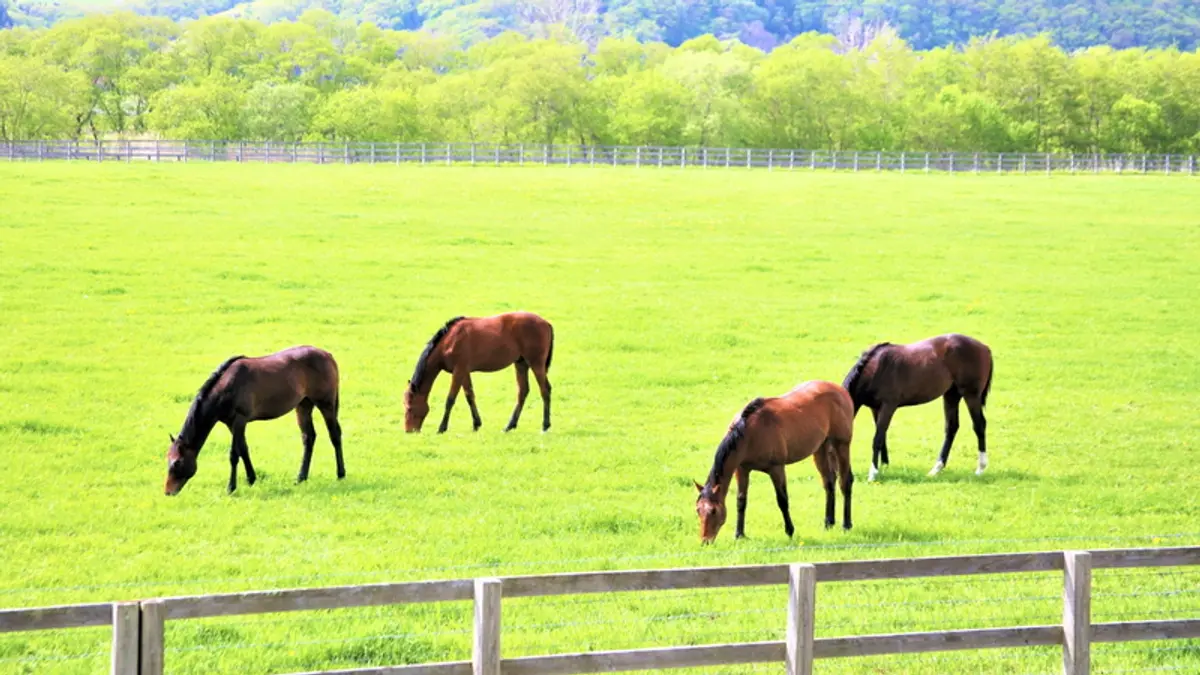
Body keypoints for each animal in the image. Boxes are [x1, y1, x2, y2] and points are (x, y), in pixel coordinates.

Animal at [164, 346, 344, 496]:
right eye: (168, 460)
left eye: (177, 463)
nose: (168, 492)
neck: (227, 387)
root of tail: (327, 355)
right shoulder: (232, 424)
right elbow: (243, 449)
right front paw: (251, 478)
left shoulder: (239, 420)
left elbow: (234, 454)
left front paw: (231, 487)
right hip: (303, 405)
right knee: (308, 437)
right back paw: (301, 477)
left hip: (326, 404)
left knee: (335, 435)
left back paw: (340, 474)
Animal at [404, 311, 554, 434]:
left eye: (410, 408)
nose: (408, 431)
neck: (450, 340)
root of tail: (546, 323)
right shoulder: (464, 372)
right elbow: (470, 396)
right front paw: (476, 424)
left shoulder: (458, 371)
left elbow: (450, 399)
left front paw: (442, 428)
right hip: (521, 364)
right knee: (523, 391)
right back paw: (509, 426)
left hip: (536, 364)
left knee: (545, 390)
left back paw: (545, 426)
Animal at [693, 380, 855, 544]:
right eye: (698, 510)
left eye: (713, 511)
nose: (705, 541)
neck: (749, 431)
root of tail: (839, 389)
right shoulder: (742, 469)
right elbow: (741, 500)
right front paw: (739, 534)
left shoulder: (777, 469)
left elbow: (782, 500)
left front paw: (790, 531)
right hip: (821, 448)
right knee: (829, 482)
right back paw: (828, 522)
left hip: (842, 444)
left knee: (845, 481)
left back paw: (846, 524)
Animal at [842, 333, 993, 482]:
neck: (875, 368)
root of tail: (984, 347)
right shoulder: (875, 408)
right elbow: (882, 435)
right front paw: (884, 465)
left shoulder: (888, 406)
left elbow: (877, 439)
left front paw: (873, 473)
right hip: (951, 395)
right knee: (951, 427)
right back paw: (936, 469)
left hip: (971, 395)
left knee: (979, 425)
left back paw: (980, 468)